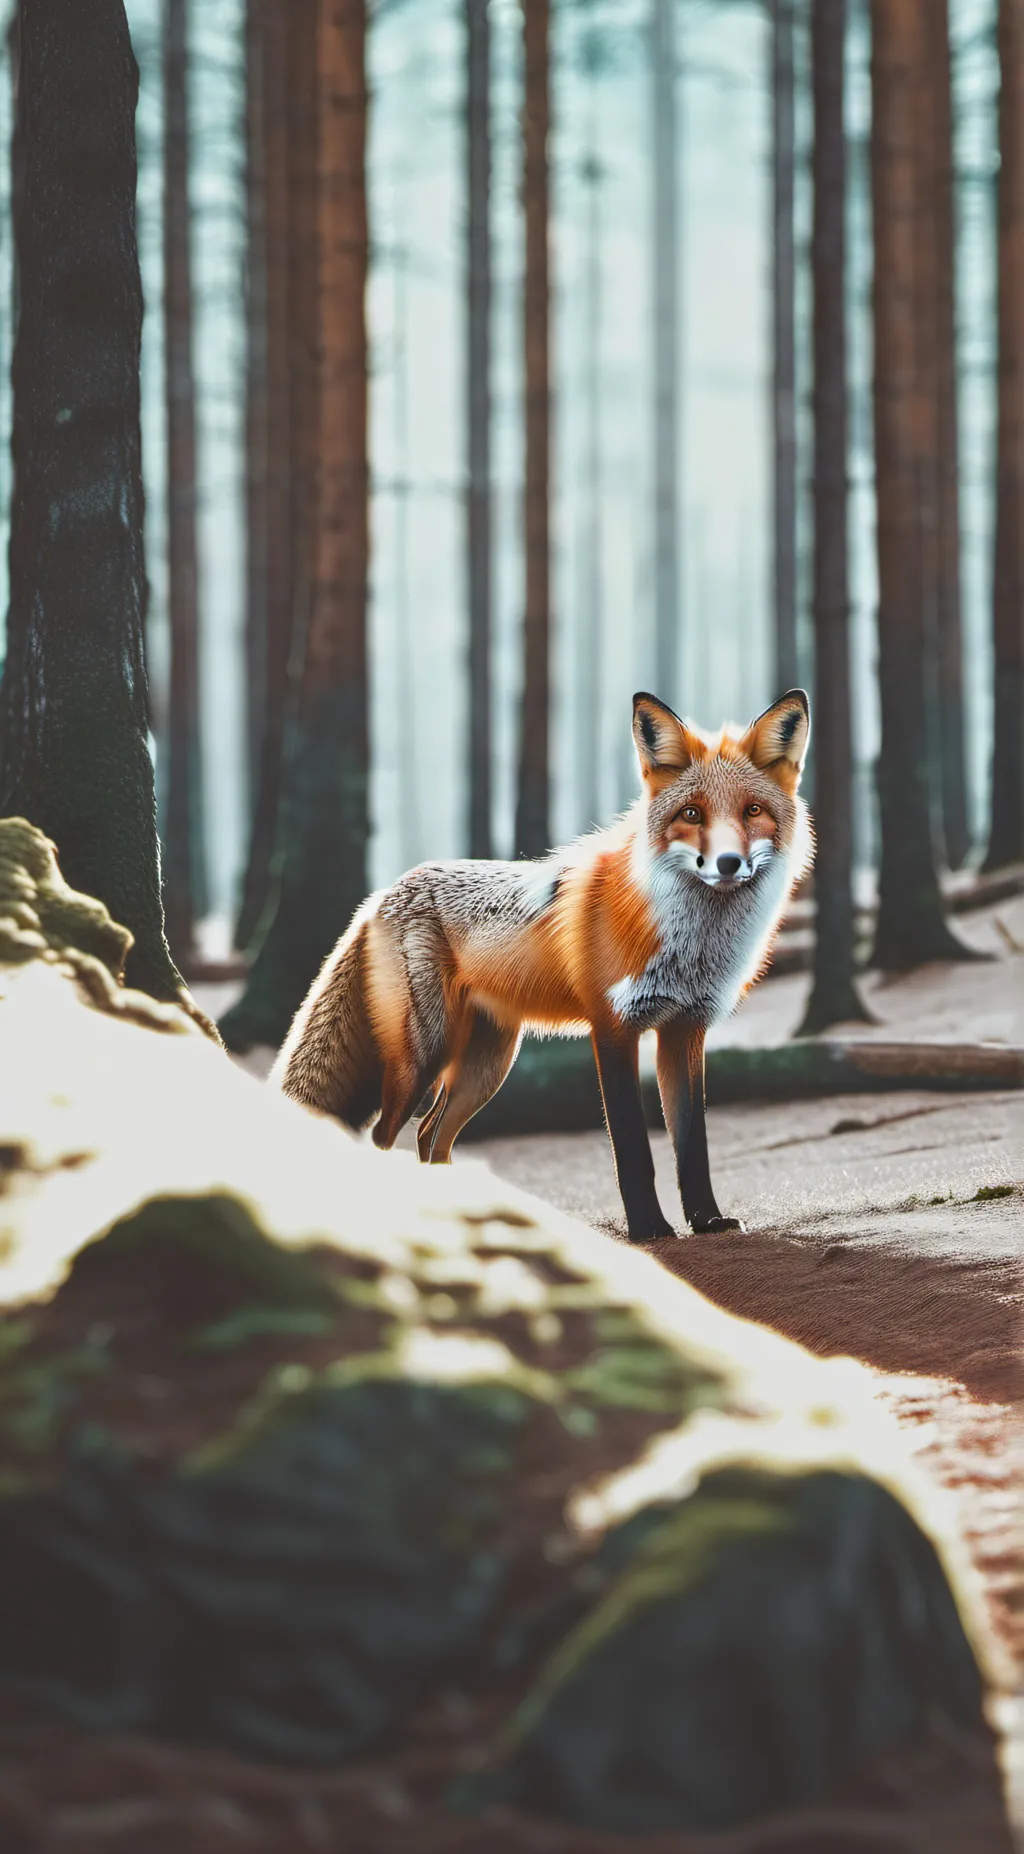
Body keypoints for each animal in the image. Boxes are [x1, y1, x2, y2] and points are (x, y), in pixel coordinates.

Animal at [271, 688, 813, 1242]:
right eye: (691, 813)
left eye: (752, 810)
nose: (728, 863)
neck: (690, 946)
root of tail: (381, 894)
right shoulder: (613, 1029)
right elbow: (633, 1150)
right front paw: (647, 1228)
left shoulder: (685, 1030)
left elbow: (692, 1146)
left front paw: (706, 1221)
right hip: (425, 1055)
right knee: (385, 1136)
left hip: (487, 1065)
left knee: (429, 1136)